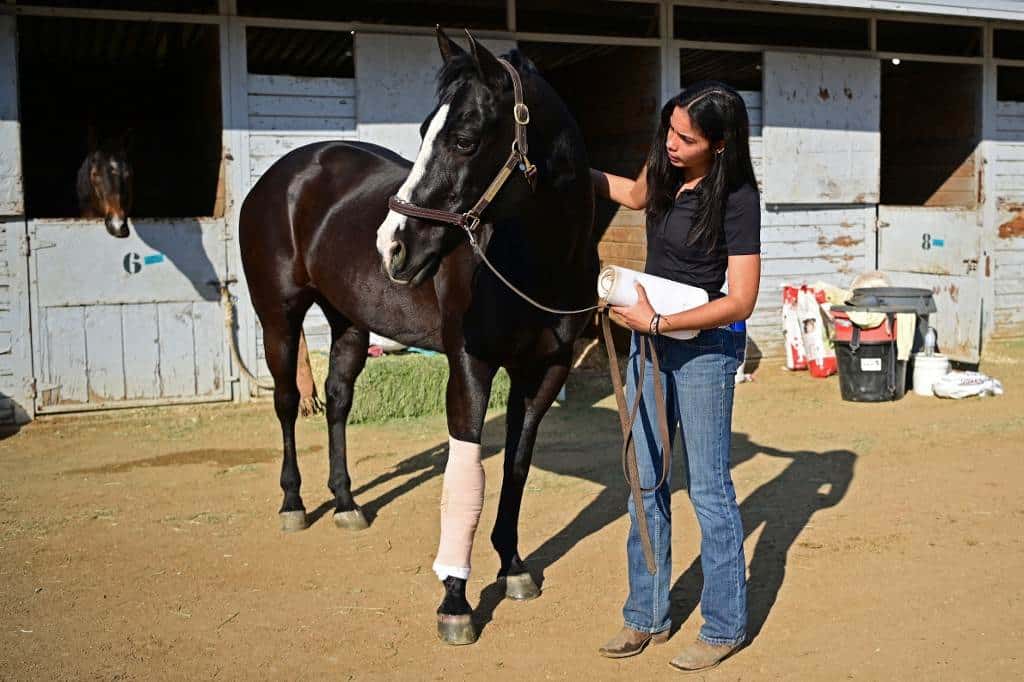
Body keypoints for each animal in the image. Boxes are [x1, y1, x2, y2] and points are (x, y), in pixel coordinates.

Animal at [237, 27, 598, 643]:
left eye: (466, 139)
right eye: (425, 129)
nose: (392, 246)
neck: (535, 262)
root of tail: (285, 173)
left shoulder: (545, 371)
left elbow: (516, 466)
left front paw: (513, 566)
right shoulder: (471, 365)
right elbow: (467, 472)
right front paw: (455, 597)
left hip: (348, 321)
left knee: (337, 400)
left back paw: (346, 502)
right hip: (278, 318)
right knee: (288, 402)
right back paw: (293, 504)